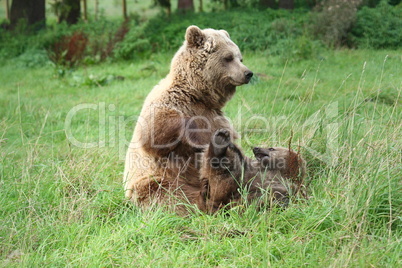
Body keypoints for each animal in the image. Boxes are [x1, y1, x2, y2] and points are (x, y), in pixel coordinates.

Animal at [124, 24, 253, 211]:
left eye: (240, 58)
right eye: (228, 57)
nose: (248, 73)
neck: (197, 94)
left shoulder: (214, 114)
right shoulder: (166, 105)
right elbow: (153, 135)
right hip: (157, 181)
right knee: (172, 195)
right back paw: (205, 199)